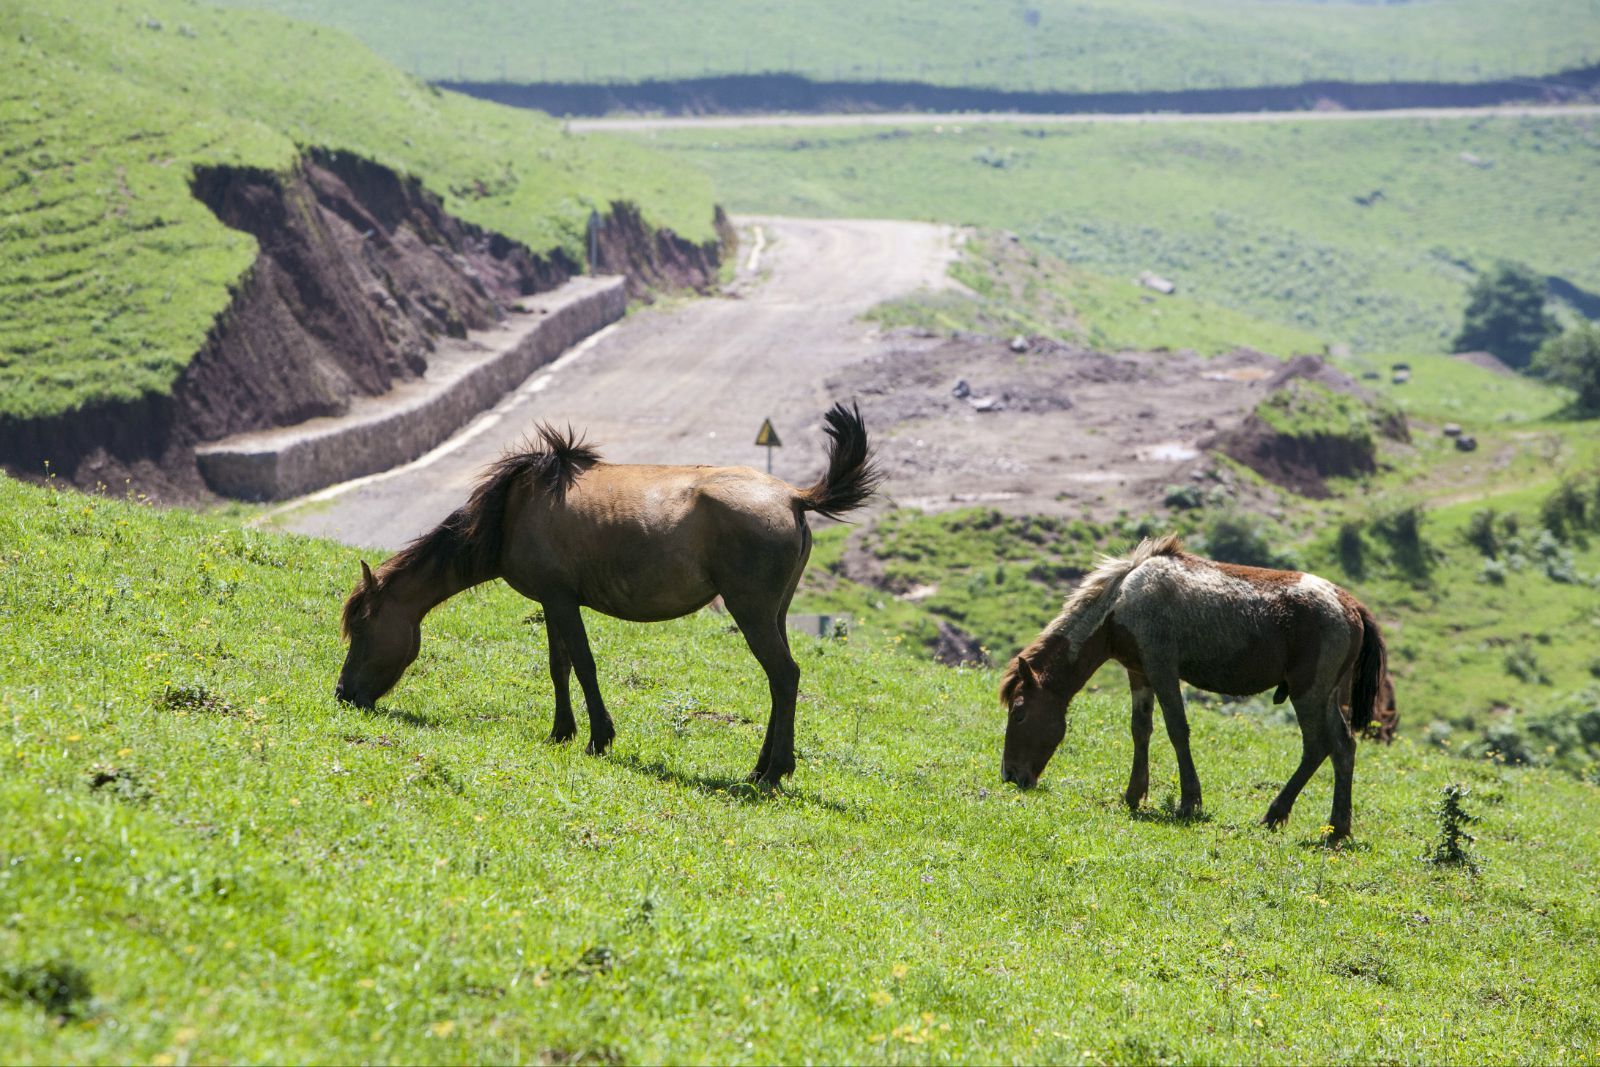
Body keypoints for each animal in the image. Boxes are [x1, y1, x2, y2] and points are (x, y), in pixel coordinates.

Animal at [337, 399, 883, 783]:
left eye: (361, 627)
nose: (344, 694)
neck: (510, 514)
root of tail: (794, 497)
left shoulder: (561, 600)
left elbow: (582, 664)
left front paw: (599, 737)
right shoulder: (552, 601)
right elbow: (558, 667)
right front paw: (561, 731)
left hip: (750, 610)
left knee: (785, 676)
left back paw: (774, 773)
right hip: (773, 612)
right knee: (778, 679)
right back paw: (760, 766)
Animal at [998, 534, 1388, 844]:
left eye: (1019, 714)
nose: (1010, 775)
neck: (1120, 602)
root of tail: (1352, 605)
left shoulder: (1162, 669)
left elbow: (1177, 730)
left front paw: (1188, 802)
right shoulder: (1139, 673)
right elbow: (1140, 730)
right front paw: (1133, 794)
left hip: (1308, 691)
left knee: (1317, 746)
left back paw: (1275, 814)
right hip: (1327, 695)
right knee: (1343, 747)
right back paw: (1337, 828)